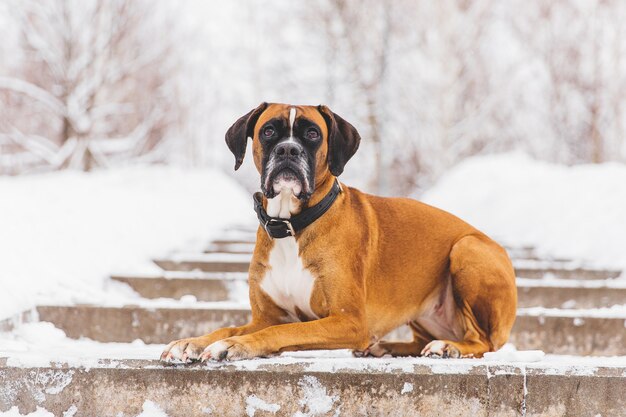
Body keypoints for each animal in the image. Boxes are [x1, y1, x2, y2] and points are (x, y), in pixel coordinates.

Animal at [161, 101, 516, 360]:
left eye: (312, 134)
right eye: (269, 131)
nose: (288, 150)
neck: (291, 225)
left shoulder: (348, 321)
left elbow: (281, 333)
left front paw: (234, 347)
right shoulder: (266, 317)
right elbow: (230, 328)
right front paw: (192, 342)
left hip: (467, 249)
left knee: (483, 341)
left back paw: (448, 348)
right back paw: (385, 347)